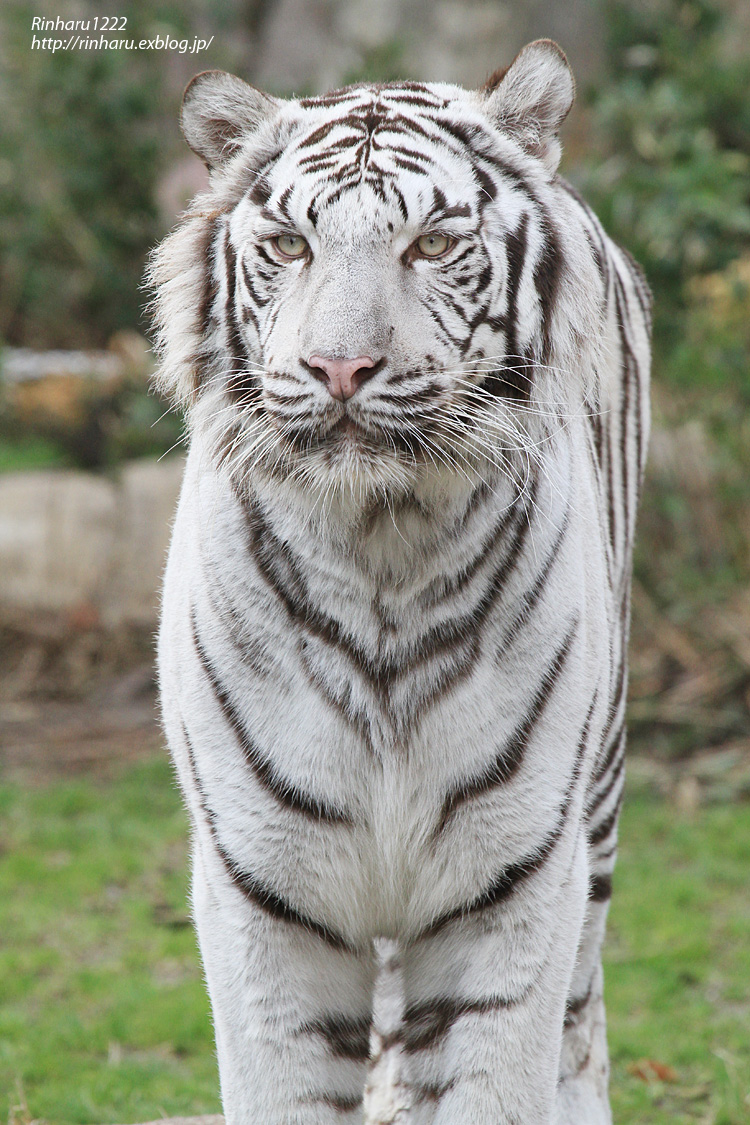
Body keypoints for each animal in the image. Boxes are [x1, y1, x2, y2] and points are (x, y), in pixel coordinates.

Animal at [150, 39, 652, 1125]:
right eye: (289, 245)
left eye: (432, 244)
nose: (339, 369)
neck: (379, 546)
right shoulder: (261, 893)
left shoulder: (514, 884)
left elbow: (498, 1079)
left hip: (596, 801)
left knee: (581, 1018)